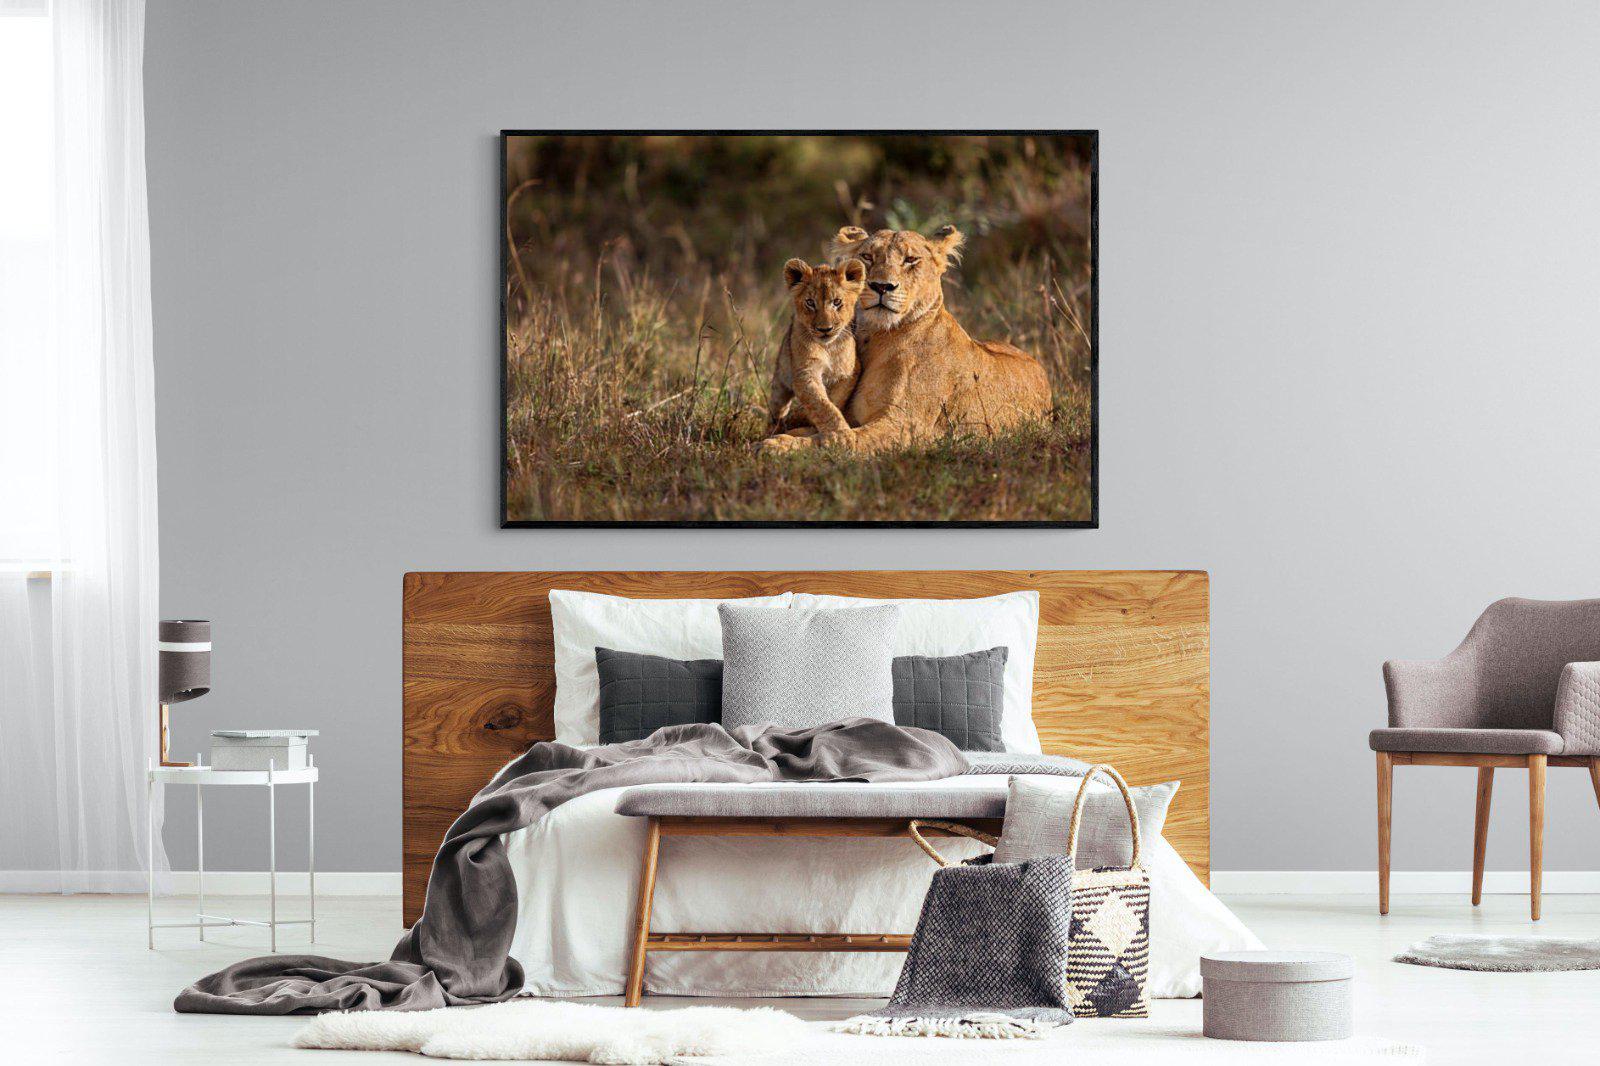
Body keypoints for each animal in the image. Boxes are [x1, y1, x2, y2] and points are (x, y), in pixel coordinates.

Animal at [766, 257, 867, 444]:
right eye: (810, 303)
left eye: (837, 302)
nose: (824, 329)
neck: (828, 347)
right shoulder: (805, 373)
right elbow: (822, 404)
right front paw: (840, 435)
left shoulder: (849, 372)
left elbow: (833, 400)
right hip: (780, 381)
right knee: (776, 410)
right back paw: (773, 428)